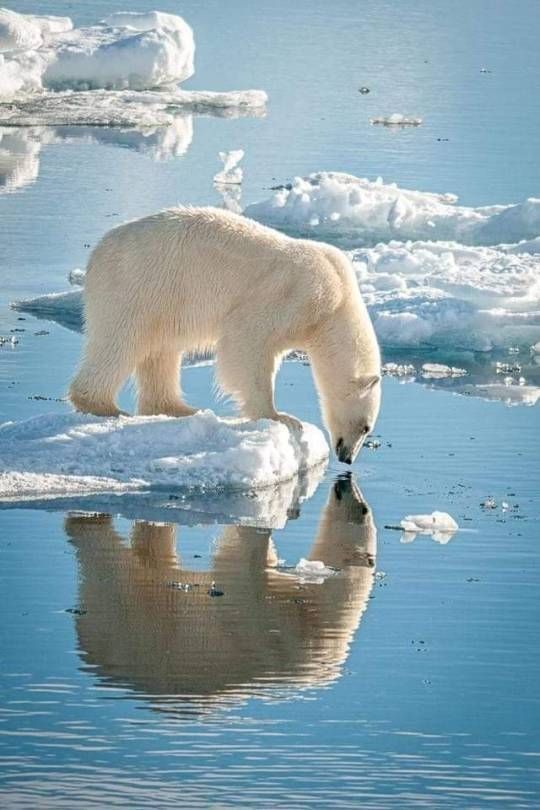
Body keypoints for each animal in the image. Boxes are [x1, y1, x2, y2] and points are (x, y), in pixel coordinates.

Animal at [69, 208, 382, 460]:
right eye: (366, 426)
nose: (347, 458)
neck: (337, 299)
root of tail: (98, 252)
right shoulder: (295, 294)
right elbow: (248, 340)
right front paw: (280, 417)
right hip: (137, 283)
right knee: (120, 340)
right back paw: (106, 407)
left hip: (165, 298)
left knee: (161, 350)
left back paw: (179, 408)